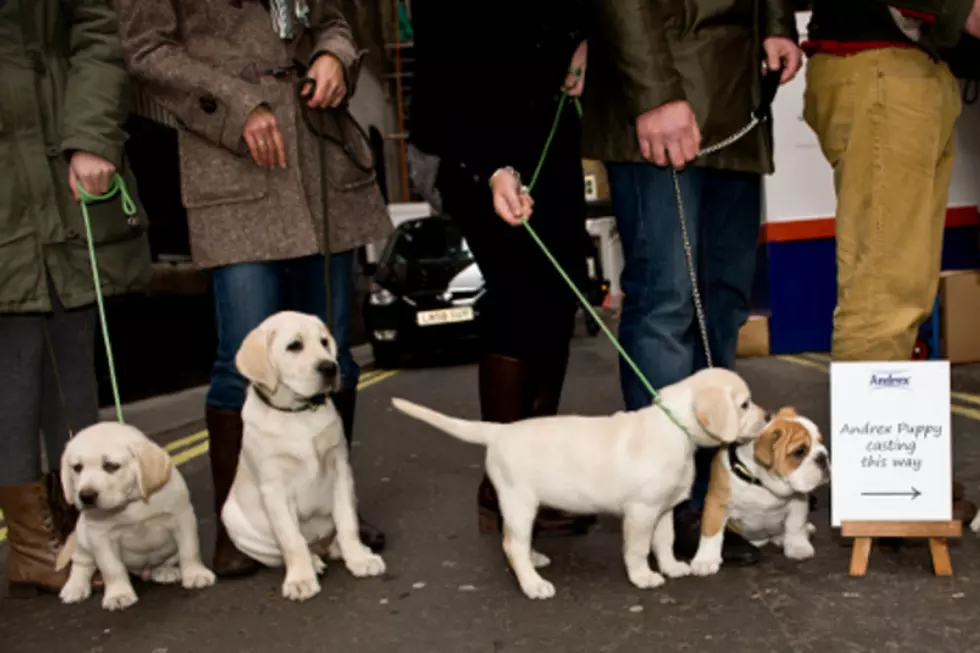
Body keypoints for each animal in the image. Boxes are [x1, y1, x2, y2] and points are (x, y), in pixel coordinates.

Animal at [57, 420, 214, 608]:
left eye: (111, 466)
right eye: (77, 468)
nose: (86, 496)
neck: (131, 503)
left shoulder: (183, 518)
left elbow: (189, 550)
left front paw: (195, 574)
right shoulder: (100, 537)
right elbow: (112, 568)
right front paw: (118, 594)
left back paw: (165, 570)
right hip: (83, 539)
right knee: (81, 564)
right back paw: (75, 587)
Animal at [222, 310, 386, 600]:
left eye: (324, 342)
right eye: (294, 346)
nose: (330, 367)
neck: (297, 413)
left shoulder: (340, 470)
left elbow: (347, 523)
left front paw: (358, 558)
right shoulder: (274, 489)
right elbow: (291, 539)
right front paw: (300, 579)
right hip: (234, 521)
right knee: (290, 548)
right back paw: (313, 562)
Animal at [390, 364, 764, 600]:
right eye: (744, 404)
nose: (766, 418)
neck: (676, 428)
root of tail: (499, 431)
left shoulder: (664, 509)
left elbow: (664, 542)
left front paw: (672, 567)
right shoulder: (641, 512)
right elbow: (639, 549)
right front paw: (642, 577)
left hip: (522, 507)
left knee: (516, 540)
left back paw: (534, 559)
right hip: (519, 501)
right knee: (512, 545)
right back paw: (533, 584)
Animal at [688, 408, 828, 576]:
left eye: (821, 442)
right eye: (799, 452)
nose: (823, 457)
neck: (762, 482)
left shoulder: (798, 499)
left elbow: (796, 525)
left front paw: (798, 546)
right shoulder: (717, 503)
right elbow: (711, 532)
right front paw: (705, 560)